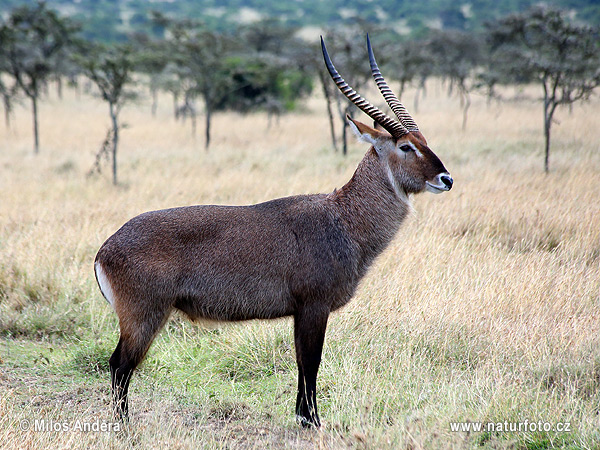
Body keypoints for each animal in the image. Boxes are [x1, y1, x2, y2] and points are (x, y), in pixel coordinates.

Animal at [92, 34, 450, 426]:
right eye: (406, 146)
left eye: (425, 140)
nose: (446, 179)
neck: (343, 217)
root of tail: (105, 249)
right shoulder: (314, 306)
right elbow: (311, 363)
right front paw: (313, 421)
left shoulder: (301, 311)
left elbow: (301, 363)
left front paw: (302, 416)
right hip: (144, 317)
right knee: (119, 365)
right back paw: (124, 425)